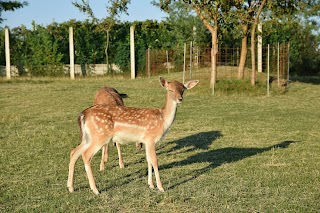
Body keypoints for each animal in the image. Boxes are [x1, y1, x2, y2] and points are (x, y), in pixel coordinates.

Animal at [67, 77, 198, 195]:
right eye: (170, 90)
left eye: (183, 89)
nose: (180, 99)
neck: (163, 120)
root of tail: (83, 114)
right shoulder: (151, 138)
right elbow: (154, 161)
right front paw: (161, 187)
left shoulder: (145, 141)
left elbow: (148, 160)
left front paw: (150, 185)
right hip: (100, 135)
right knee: (85, 155)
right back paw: (95, 190)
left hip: (88, 137)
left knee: (74, 152)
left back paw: (70, 187)